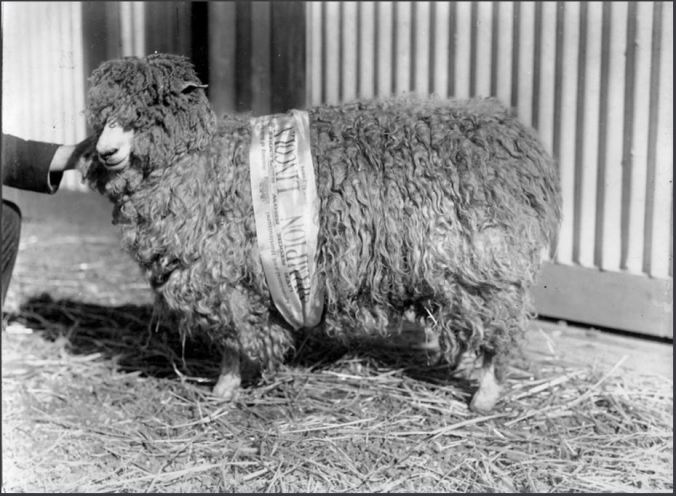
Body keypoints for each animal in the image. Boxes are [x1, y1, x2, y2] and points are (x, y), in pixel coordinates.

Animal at [82, 53, 561, 412]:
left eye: (150, 110)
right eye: (100, 117)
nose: (106, 151)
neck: (201, 164)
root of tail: (520, 145)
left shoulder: (227, 279)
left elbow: (234, 342)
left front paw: (224, 389)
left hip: (479, 267)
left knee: (499, 330)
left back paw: (485, 397)